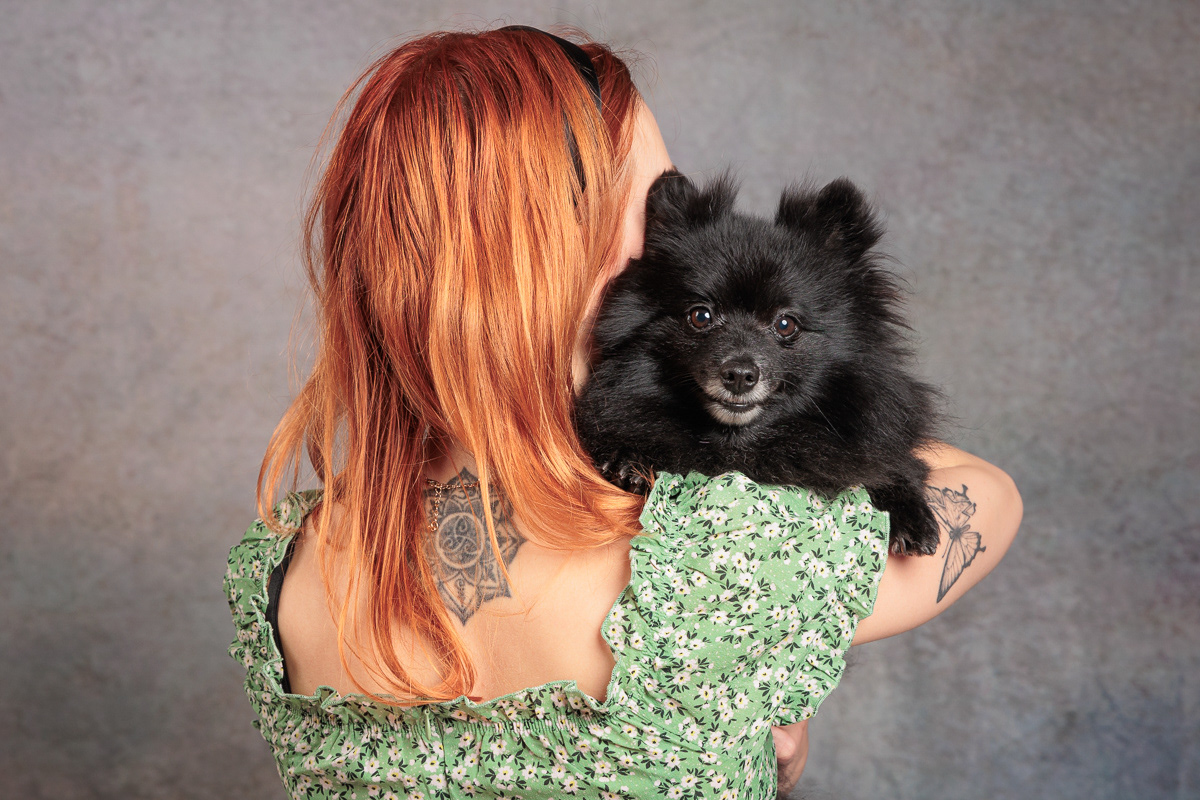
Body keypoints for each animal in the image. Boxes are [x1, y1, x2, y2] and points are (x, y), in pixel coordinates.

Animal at [574, 170, 942, 556]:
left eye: (785, 324)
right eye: (700, 316)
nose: (739, 374)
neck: (739, 442)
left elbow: (887, 465)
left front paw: (908, 508)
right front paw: (629, 459)